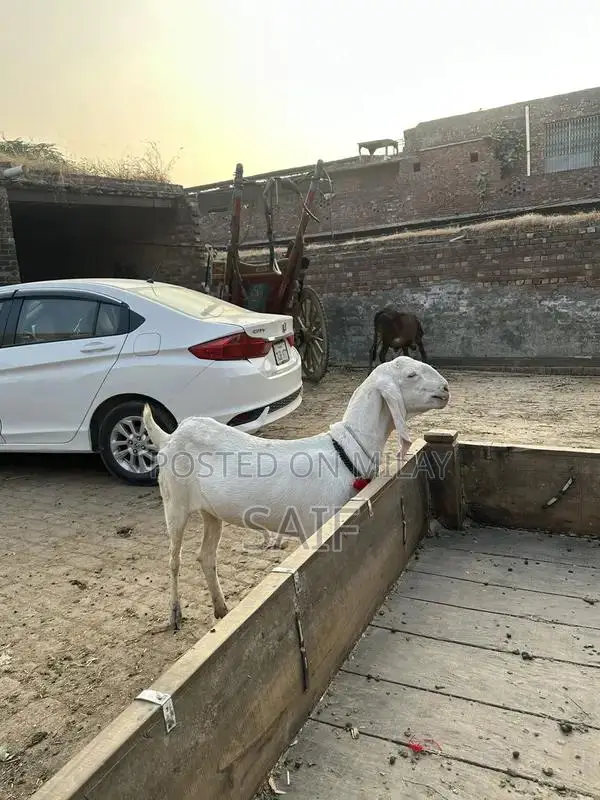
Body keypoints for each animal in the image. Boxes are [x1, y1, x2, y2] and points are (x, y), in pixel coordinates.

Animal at [143, 356, 450, 629]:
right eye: (411, 375)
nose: (445, 388)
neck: (345, 452)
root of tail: (168, 437)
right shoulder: (314, 529)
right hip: (174, 501)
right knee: (174, 559)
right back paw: (175, 614)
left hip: (211, 511)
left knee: (205, 556)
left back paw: (221, 609)